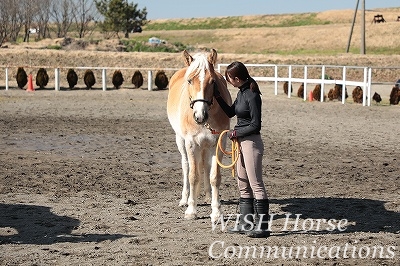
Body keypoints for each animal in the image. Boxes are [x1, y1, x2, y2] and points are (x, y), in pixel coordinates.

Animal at [167, 49, 233, 222]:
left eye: (213, 82)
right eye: (190, 81)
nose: (200, 116)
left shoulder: (218, 143)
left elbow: (214, 177)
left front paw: (216, 212)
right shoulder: (191, 143)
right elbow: (193, 175)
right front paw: (191, 210)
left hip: (206, 147)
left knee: (206, 166)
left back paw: (208, 197)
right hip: (180, 140)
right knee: (186, 166)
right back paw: (185, 199)